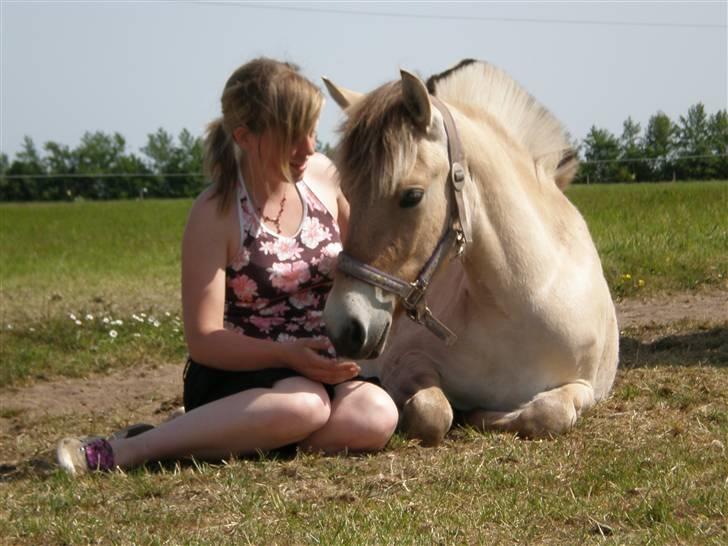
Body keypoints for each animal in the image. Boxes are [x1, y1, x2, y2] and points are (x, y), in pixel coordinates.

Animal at [324, 59, 620, 444]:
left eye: (412, 195)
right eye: (346, 191)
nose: (345, 327)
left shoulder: (587, 386)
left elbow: (550, 413)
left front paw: (488, 415)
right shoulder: (404, 363)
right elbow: (433, 412)